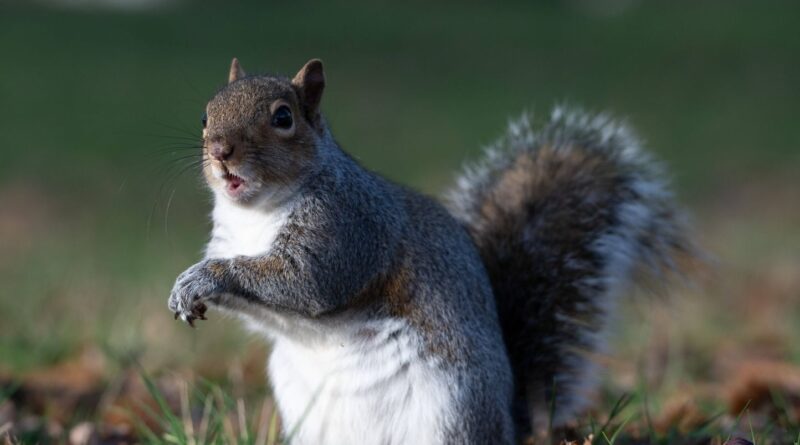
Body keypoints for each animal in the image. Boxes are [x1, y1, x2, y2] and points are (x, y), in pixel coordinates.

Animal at [168, 58, 694, 444]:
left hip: (451, 408)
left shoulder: (347, 229)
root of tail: (508, 426)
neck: (258, 213)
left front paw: (206, 278)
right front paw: (185, 286)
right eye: (205, 115)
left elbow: (306, 283)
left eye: (283, 117)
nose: (220, 151)